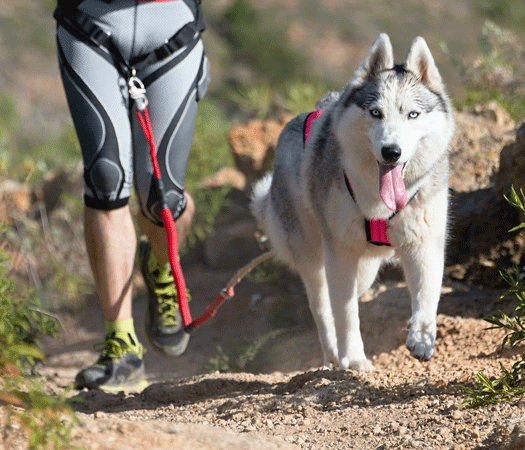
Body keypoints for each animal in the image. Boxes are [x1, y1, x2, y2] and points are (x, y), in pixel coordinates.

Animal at [251, 32, 454, 370]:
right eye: (375, 113)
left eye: (412, 114)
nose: (391, 152)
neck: (380, 205)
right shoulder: (340, 252)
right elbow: (345, 314)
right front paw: (355, 360)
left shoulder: (424, 243)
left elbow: (426, 296)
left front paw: (422, 339)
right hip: (313, 257)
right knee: (323, 308)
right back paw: (333, 356)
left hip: (366, 269)